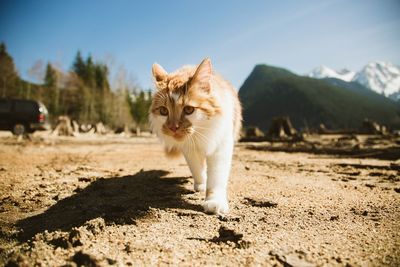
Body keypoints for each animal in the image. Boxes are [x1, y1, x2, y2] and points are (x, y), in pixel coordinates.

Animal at [149, 58, 241, 216]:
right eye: (163, 111)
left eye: (188, 109)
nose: (173, 127)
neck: (199, 134)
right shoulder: (189, 150)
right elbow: (197, 169)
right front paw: (201, 184)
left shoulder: (221, 145)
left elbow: (216, 177)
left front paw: (214, 202)